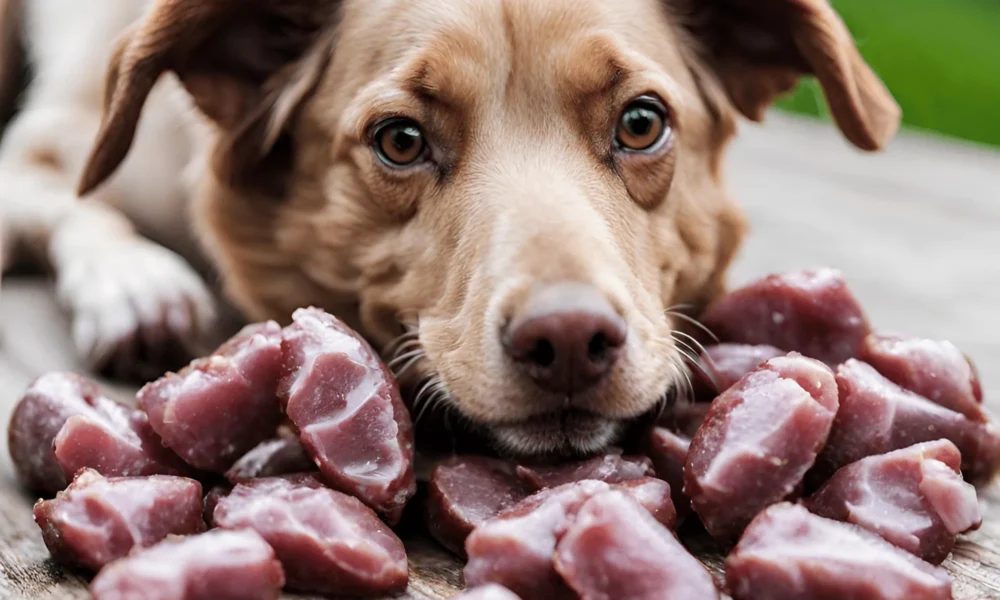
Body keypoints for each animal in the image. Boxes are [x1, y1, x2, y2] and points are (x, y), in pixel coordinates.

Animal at [0, 0, 900, 458]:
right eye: (400, 140)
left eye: (641, 123)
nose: (568, 341)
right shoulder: (41, 151)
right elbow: (80, 202)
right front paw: (135, 284)